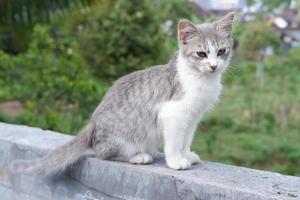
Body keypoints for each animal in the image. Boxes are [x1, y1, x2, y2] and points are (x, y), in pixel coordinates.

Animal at [11, 12, 234, 175]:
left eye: (221, 51)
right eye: (201, 54)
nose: (214, 66)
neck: (201, 79)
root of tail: (92, 125)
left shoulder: (192, 117)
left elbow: (186, 139)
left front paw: (186, 155)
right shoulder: (173, 114)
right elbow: (174, 142)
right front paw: (176, 161)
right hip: (123, 139)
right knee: (104, 153)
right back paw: (139, 156)